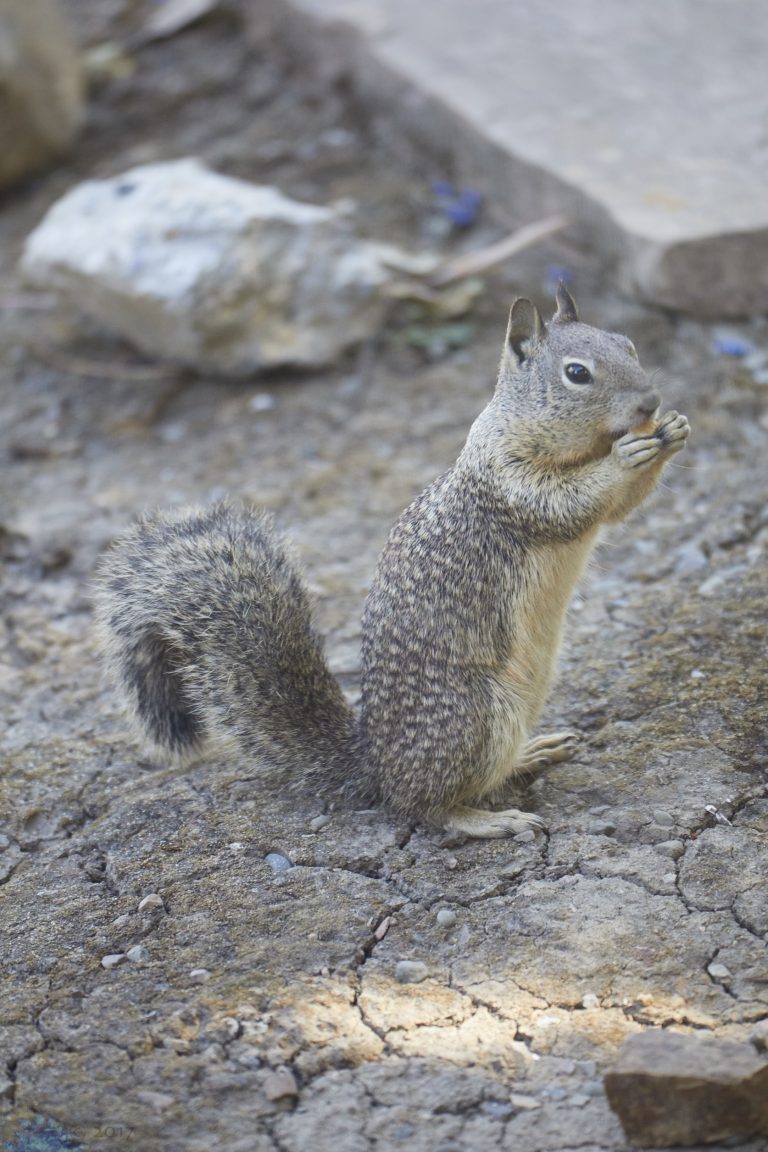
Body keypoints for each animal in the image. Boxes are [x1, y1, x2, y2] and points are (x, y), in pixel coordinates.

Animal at [94, 284, 690, 838]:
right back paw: (488, 819)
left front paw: (674, 430)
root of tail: (377, 767)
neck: (577, 445)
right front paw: (630, 454)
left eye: (628, 344)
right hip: (475, 716)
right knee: (426, 806)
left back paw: (533, 752)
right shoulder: (507, 482)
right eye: (576, 373)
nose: (650, 402)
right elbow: (566, 503)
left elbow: (617, 510)